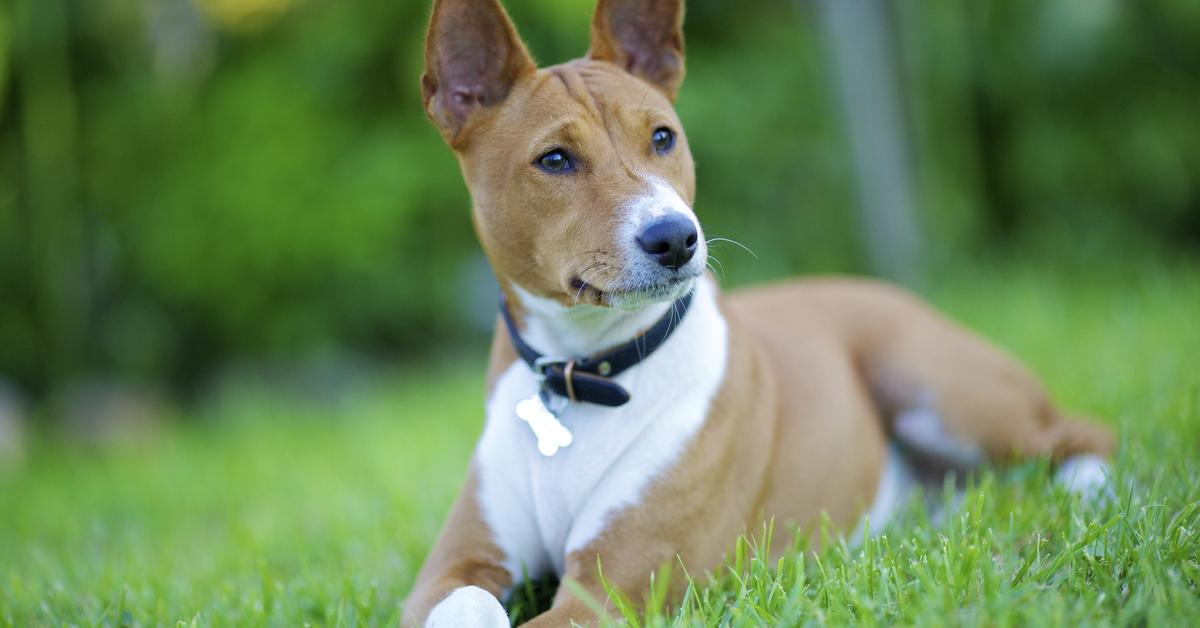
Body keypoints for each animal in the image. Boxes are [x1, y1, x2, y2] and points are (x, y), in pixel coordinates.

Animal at [403, 2, 1113, 624]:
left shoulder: (609, 593)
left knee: (1082, 434)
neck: (584, 373)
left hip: (939, 387)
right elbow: (468, 605)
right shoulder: (451, 569)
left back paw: (1086, 493)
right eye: (554, 159)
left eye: (663, 137)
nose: (674, 238)